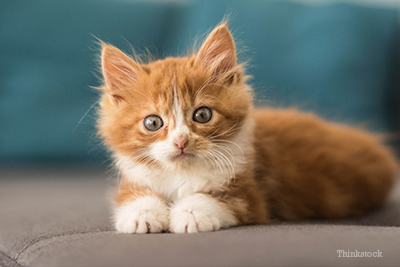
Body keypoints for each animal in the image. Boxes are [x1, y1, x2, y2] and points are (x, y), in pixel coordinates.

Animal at [95, 22, 398, 233]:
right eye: (153, 122)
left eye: (202, 115)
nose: (181, 141)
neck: (182, 174)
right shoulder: (136, 178)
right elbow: (133, 195)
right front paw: (141, 215)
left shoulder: (250, 194)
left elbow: (213, 198)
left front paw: (189, 215)